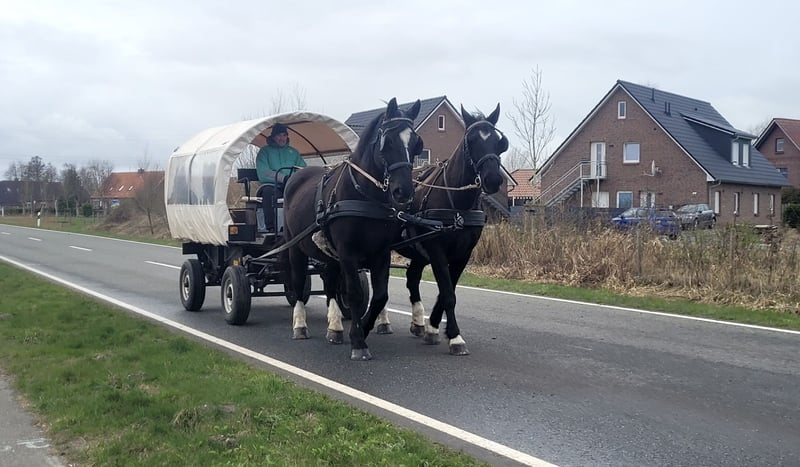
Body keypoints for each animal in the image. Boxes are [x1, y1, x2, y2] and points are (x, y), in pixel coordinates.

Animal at [282, 97, 423, 361]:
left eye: (416, 144)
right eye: (387, 142)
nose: (404, 192)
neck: (364, 195)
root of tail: (295, 176)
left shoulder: (381, 254)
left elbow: (379, 296)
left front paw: (365, 328)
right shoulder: (348, 253)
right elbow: (355, 293)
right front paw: (358, 341)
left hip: (330, 255)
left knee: (329, 283)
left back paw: (335, 328)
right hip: (296, 248)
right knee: (298, 284)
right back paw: (300, 326)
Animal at [378, 104, 507, 355]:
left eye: (499, 142)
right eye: (471, 140)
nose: (493, 179)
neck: (457, 203)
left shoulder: (463, 253)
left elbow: (448, 290)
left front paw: (433, 328)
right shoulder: (437, 249)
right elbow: (447, 293)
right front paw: (455, 337)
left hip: (418, 252)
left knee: (412, 278)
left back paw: (418, 322)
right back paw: (383, 321)